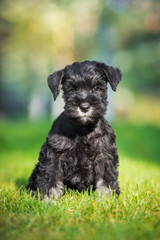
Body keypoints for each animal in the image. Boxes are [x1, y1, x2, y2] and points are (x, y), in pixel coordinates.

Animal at [26, 60, 122, 201]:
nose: (84, 106)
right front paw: (48, 199)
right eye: (71, 89)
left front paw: (106, 199)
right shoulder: (54, 152)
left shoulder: (104, 155)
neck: (83, 129)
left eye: (97, 88)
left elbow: (106, 179)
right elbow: (50, 175)